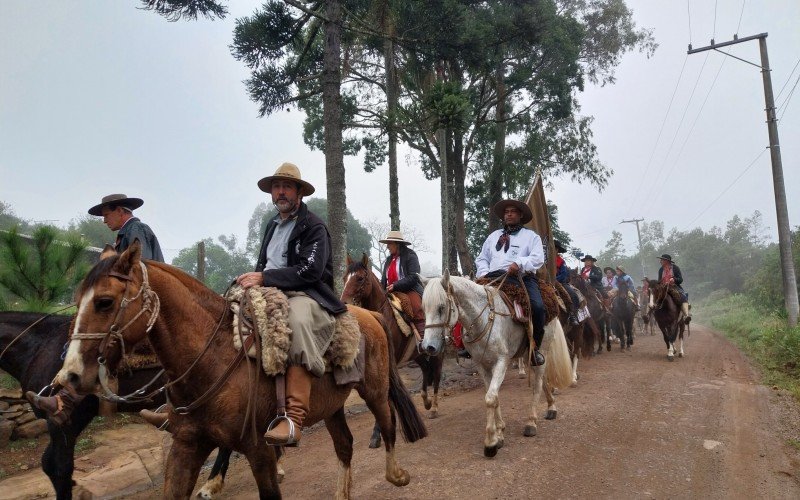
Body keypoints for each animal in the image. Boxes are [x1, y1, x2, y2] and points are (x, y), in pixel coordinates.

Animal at [51, 242, 424, 496]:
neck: (211, 358)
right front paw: (210, 484)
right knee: (345, 446)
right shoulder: (186, 447)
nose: (68, 376)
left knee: (388, 424)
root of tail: (369, 314)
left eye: (105, 302)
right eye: (77, 299)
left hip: (374, 390)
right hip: (330, 405)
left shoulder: (259, 450)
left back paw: (397, 473)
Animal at [342, 254, 446, 450]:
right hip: (418, 354)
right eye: (345, 278)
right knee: (425, 370)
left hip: (437, 352)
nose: (344, 303)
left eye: (360, 278)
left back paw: (435, 407)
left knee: (436, 374)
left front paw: (378, 433)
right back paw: (426, 401)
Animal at [422, 274, 572, 458]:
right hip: (526, 354)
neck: (483, 319)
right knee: (542, 378)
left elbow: (490, 398)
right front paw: (500, 433)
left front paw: (490, 442)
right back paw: (551, 406)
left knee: (537, 384)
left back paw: (531, 422)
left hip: (542, 348)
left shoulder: (501, 362)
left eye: (441, 307)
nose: (428, 347)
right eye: (424, 308)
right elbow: (494, 396)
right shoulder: (482, 365)